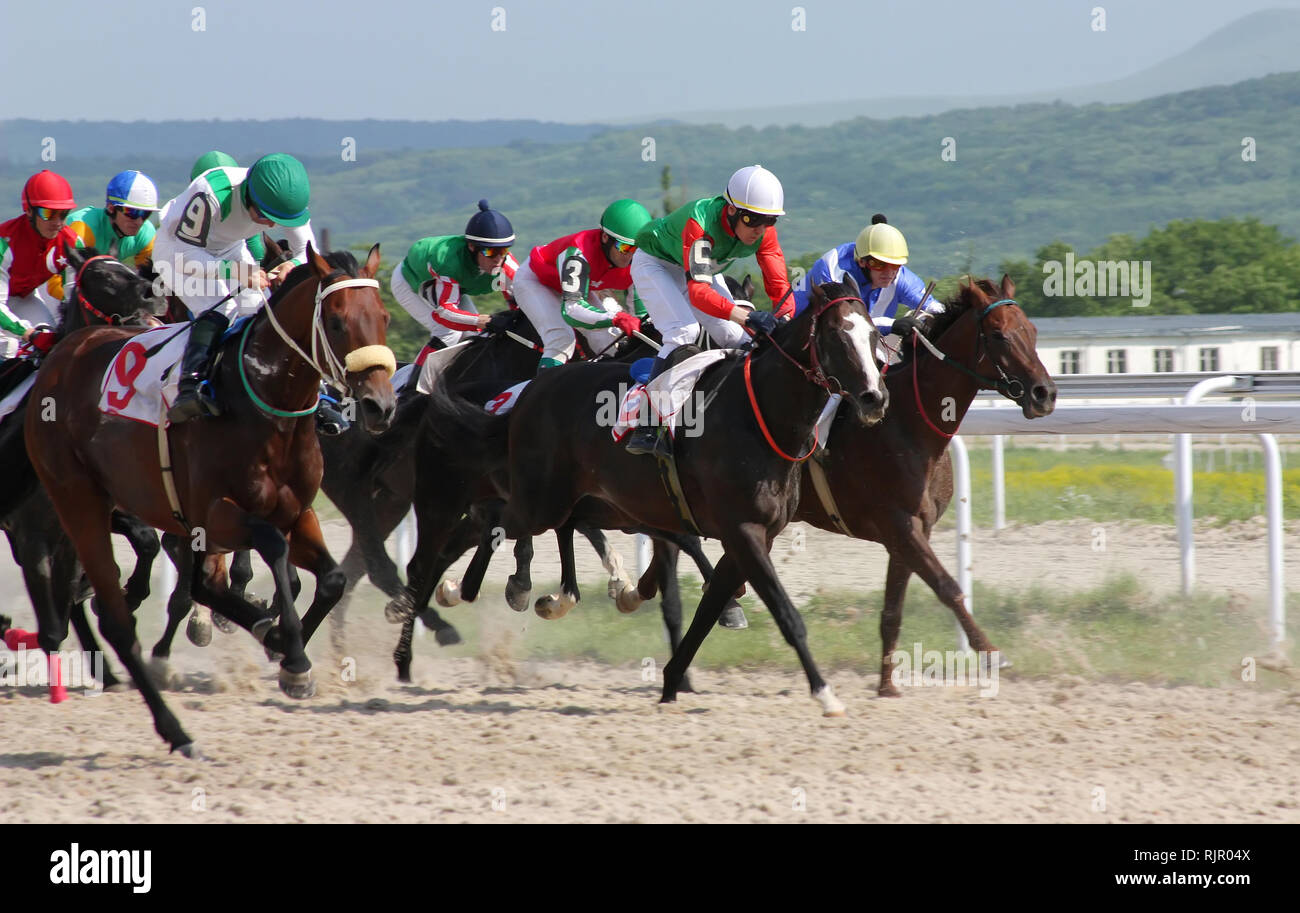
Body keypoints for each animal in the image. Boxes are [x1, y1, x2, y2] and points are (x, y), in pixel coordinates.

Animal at [24, 244, 395, 759]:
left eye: (382, 316)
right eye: (337, 322)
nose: (381, 406)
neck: (266, 408)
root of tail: (62, 352)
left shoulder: (296, 513)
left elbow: (332, 579)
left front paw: (282, 646)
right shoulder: (215, 515)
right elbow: (272, 550)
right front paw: (293, 656)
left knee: (187, 587)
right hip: (80, 502)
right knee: (118, 618)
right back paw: (176, 730)